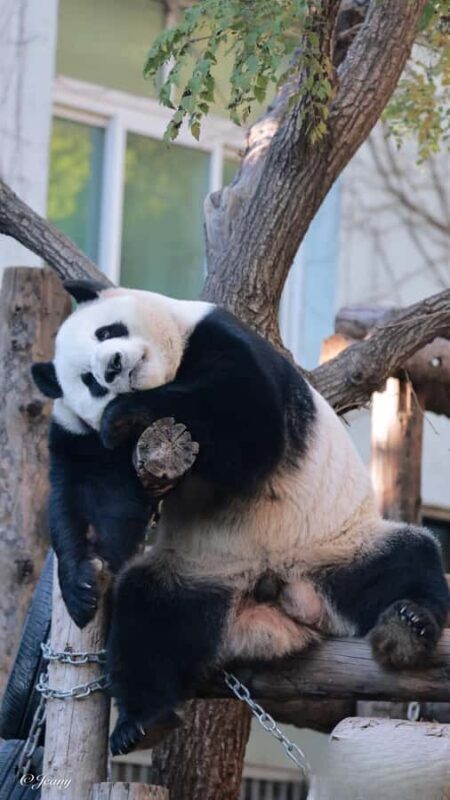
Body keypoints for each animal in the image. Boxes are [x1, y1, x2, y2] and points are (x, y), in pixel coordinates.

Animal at [32, 279, 450, 757]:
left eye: (107, 331)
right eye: (89, 382)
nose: (113, 367)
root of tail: (284, 599)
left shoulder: (217, 336)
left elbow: (248, 418)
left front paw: (130, 412)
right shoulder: (79, 433)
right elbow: (93, 495)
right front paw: (83, 581)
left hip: (337, 544)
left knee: (403, 559)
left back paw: (407, 625)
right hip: (202, 571)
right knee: (149, 611)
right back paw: (142, 723)